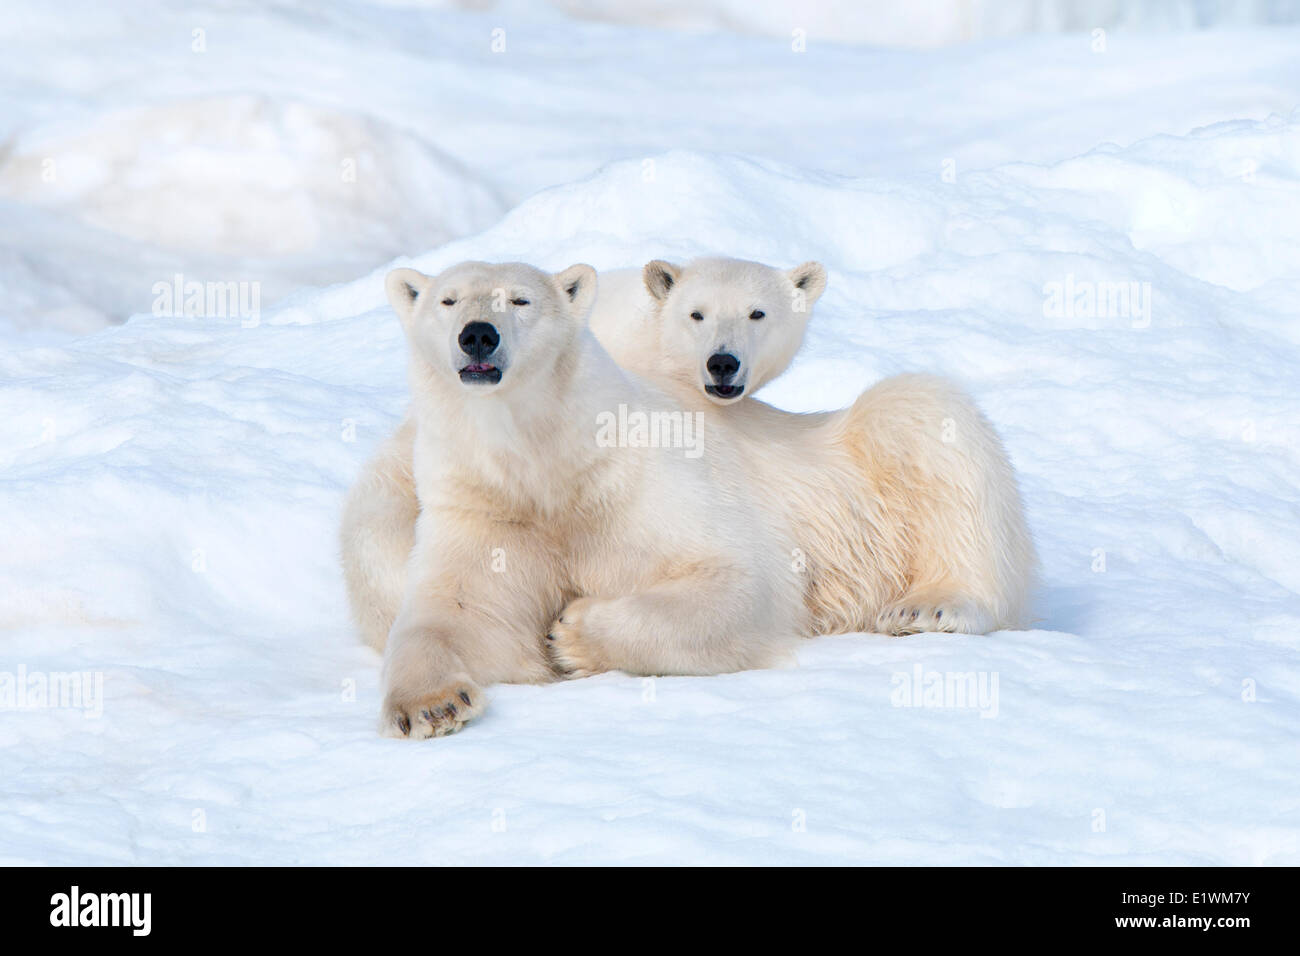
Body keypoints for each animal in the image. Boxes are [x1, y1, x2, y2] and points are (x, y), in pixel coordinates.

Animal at [371, 257, 806, 738]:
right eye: (448, 300)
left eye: (521, 300)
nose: (479, 334)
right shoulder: (485, 511)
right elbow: (457, 610)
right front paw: (430, 706)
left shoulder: (633, 488)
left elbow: (736, 582)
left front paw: (570, 635)